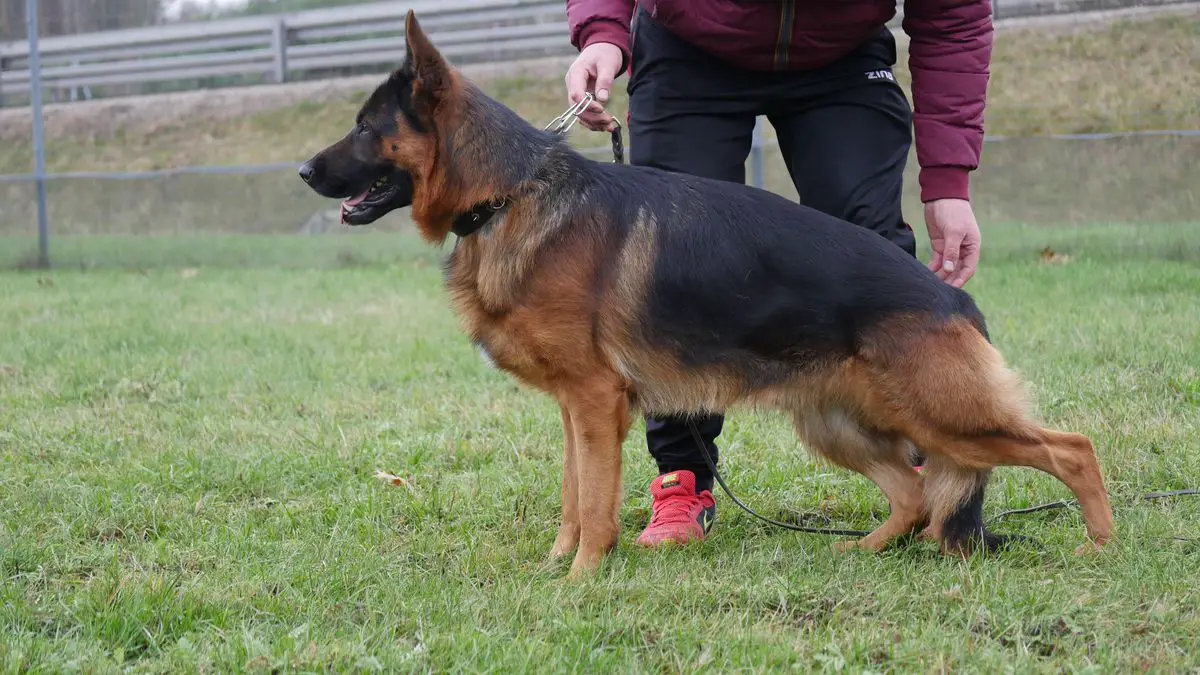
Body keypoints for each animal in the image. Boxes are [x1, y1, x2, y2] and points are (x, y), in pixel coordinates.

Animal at [297, 11, 1113, 571]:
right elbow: (571, 495)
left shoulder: (596, 403)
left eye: (365, 127)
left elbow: (593, 502)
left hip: (944, 416)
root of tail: (956, 301)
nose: (304, 170)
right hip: (838, 424)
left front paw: (581, 578)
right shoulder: (575, 409)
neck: (510, 193)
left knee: (1071, 448)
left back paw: (1099, 547)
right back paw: (862, 550)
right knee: (914, 492)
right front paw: (558, 563)